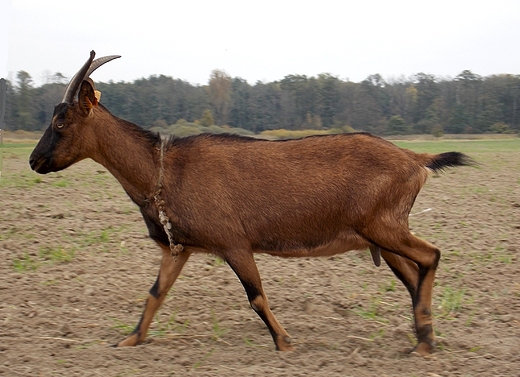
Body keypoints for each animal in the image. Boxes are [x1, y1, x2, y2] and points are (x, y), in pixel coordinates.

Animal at [29, 51, 476, 354]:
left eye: (60, 122)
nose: (34, 161)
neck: (163, 170)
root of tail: (416, 160)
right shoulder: (179, 248)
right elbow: (156, 293)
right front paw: (130, 340)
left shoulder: (234, 243)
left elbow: (256, 296)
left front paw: (284, 341)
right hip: (381, 234)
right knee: (414, 274)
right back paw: (424, 336)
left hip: (383, 225)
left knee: (431, 256)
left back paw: (424, 339)